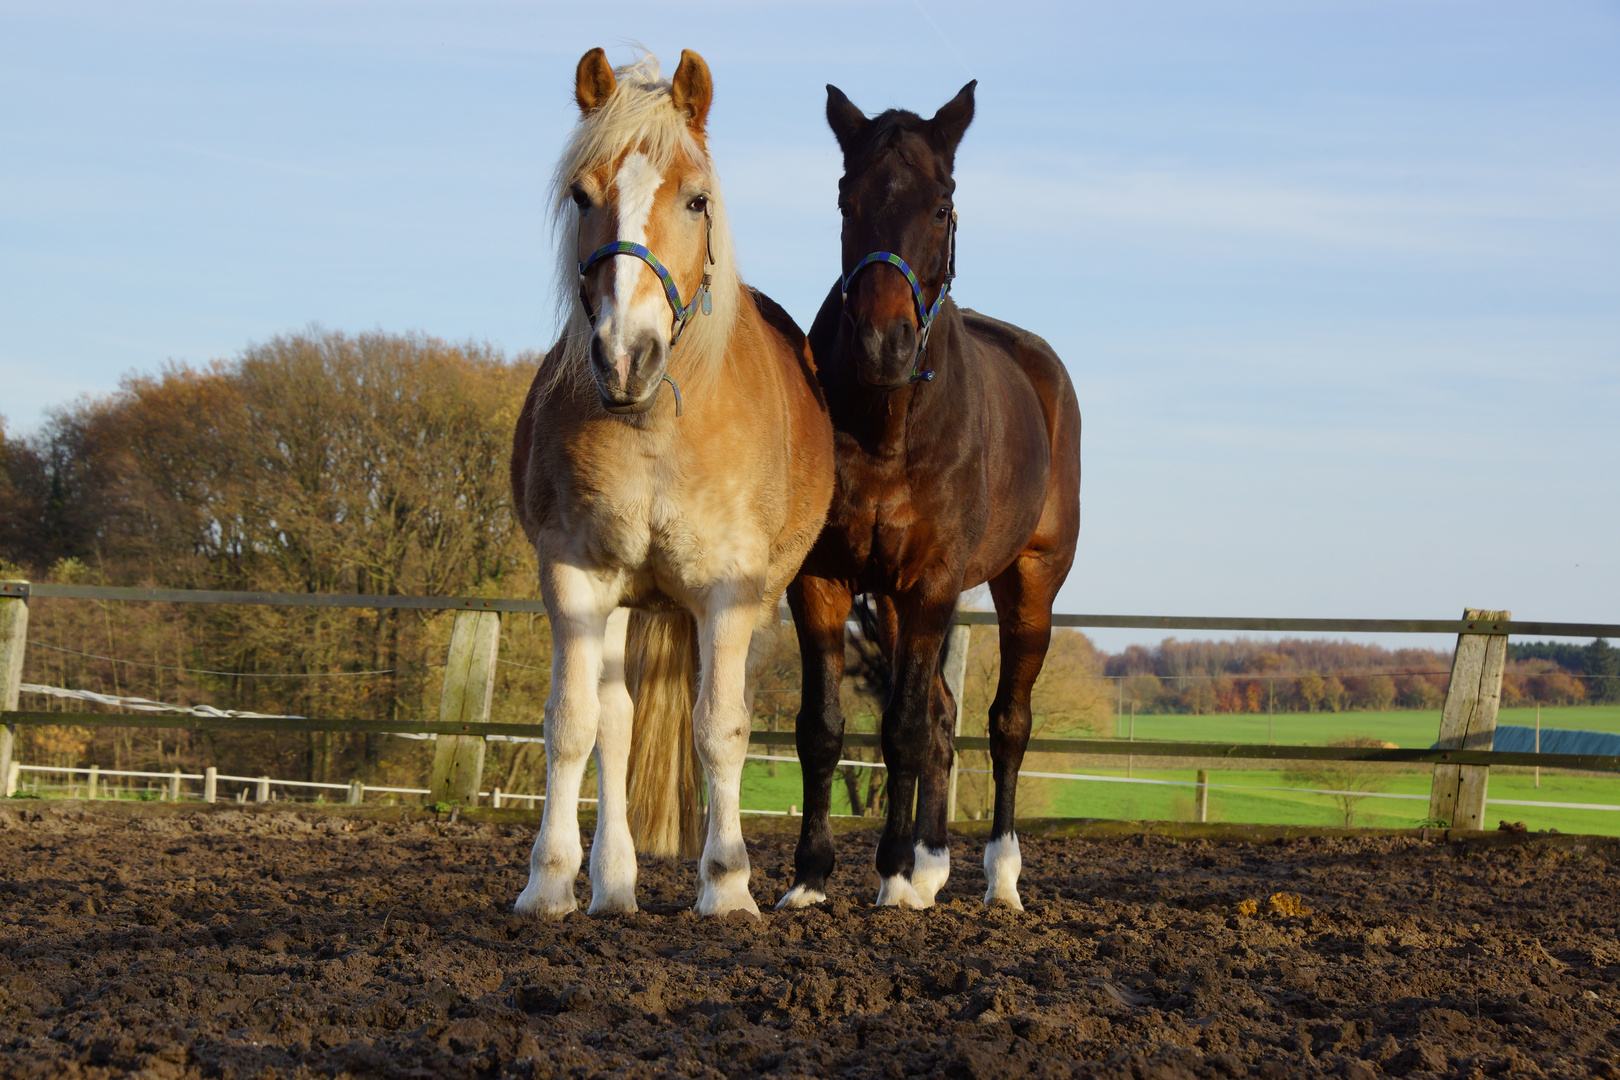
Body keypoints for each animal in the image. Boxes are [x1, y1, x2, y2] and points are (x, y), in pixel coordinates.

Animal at [508, 46, 835, 919]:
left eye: (696, 199)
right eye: (582, 195)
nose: (625, 356)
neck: (654, 427)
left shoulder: (729, 593)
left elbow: (720, 727)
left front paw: (726, 883)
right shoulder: (575, 578)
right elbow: (573, 724)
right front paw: (548, 881)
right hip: (623, 601)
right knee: (616, 722)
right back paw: (614, 882)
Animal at [780, 82, 1082, 913]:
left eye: (942, 206)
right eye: (847, 199)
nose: (884, 344)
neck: (889, 423)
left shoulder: (936, 580)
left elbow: (906, 730)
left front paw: (886, 873)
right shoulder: (822, 579)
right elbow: (825, 726)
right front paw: (811, 878)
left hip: (1028, 582)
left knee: (1005, 721)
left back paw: (998, 876)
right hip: (889, 599)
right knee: (944, 717)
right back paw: (930, 867)